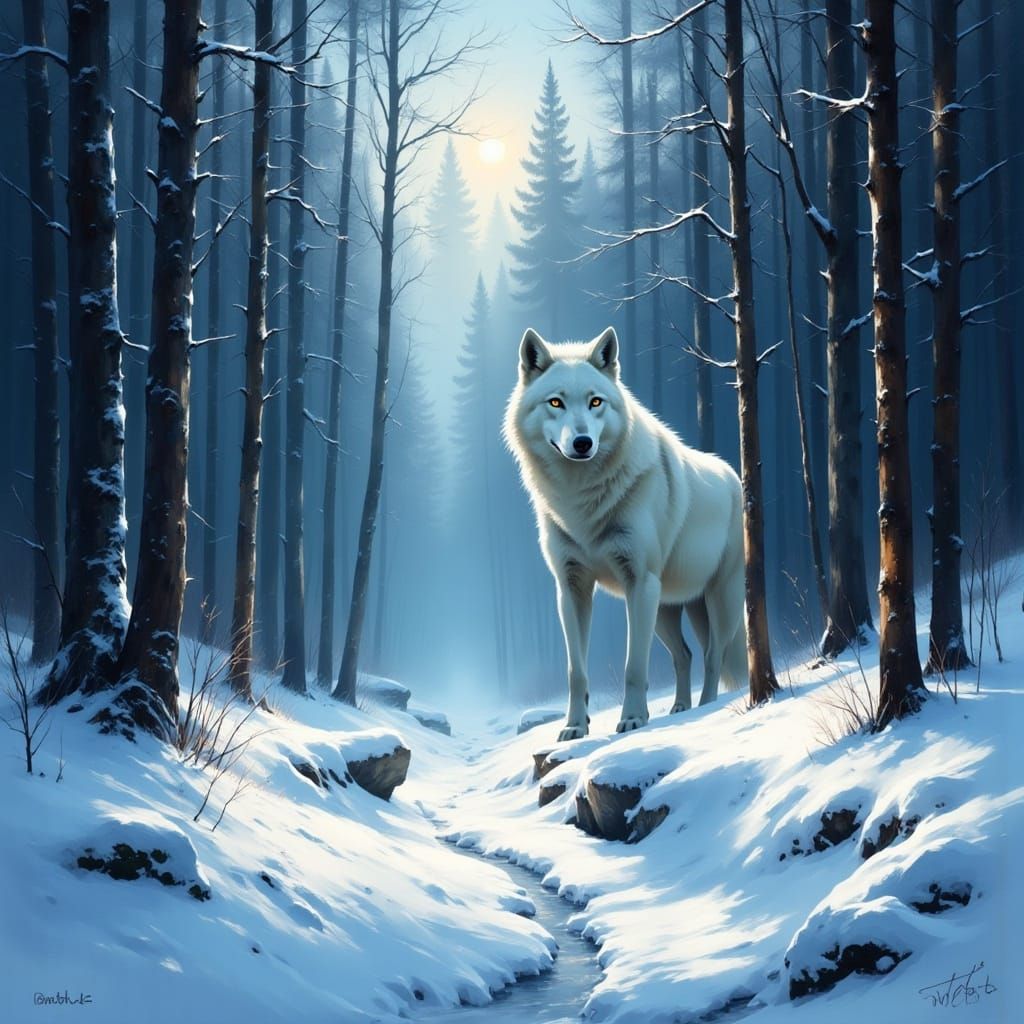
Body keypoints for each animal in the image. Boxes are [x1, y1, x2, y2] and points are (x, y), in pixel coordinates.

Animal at [504, 326, 747, 740]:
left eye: (595, 402)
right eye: (555, 403)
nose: (582, 443)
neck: (581, 501)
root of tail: (732, 473)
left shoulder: (640, 581)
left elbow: (635, 665)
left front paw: (632, 719)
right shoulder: (571, 589)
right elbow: (576, 671)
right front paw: (574, 726)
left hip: (717, 600)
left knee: (714, 655)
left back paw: (706, 707)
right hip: (668, 608)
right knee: (685, 655)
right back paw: (681, 707)